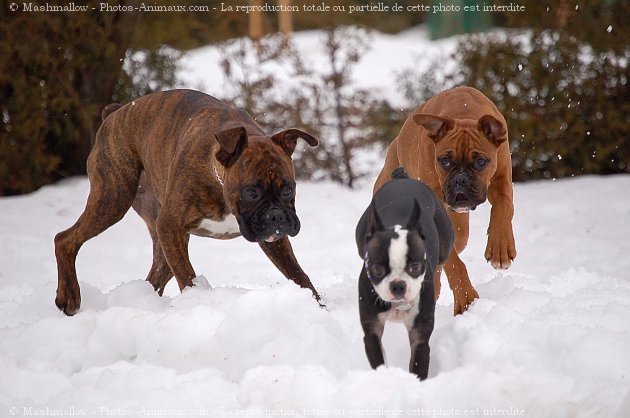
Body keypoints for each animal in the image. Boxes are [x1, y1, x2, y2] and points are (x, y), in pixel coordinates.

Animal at [53, 89, 326, 316]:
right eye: (251, 193)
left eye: (288, 189)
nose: (276, 216)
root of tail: (115, 112)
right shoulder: (171, 226)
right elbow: (188, 276)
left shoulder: (275, 241)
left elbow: (298, 274)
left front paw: (317, 306)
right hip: (113, 199)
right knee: (65, 240)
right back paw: (69, 298)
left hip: (153, 226)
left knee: (157, 272)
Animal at [356, 167, 454, 378]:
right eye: (377, 269)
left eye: (415, 267)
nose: (398, 285)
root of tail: (403, 178)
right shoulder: (371, 332)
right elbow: (379, 360)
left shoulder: (420, 337)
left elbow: (417, 365)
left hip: (445, 245)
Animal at [376, 86, 520, 316]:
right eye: (444, 160)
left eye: (481, 162)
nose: (460, 179)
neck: (464, 114)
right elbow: (454, 263)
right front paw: (466, 298)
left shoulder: (502, 182)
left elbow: (504, 209)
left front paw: (500, 247)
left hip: (460, 233)